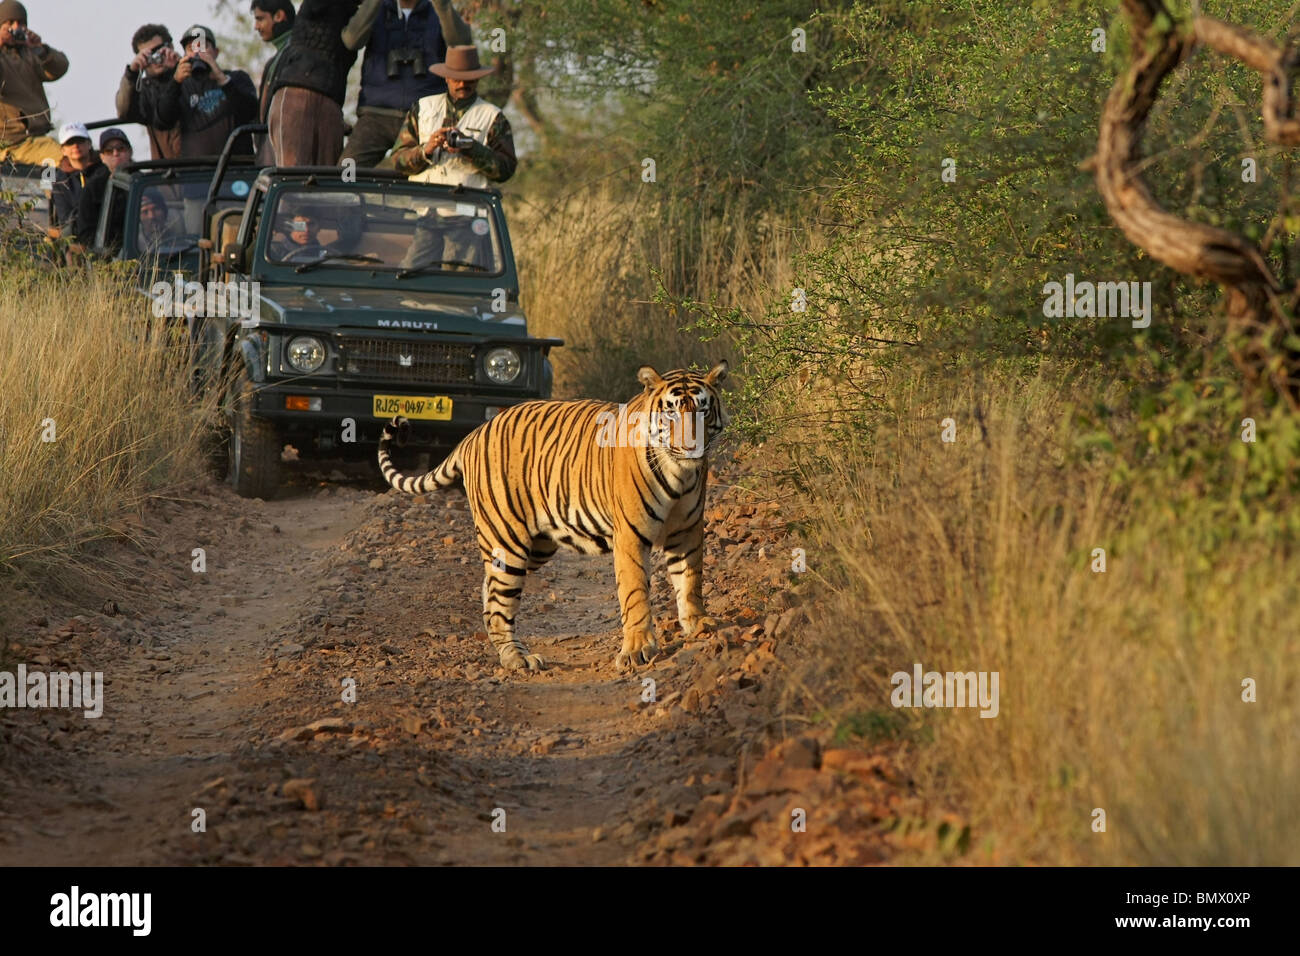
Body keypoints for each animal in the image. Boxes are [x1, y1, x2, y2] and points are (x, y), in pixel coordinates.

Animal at [377, 361, 733, 671]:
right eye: (671, 411)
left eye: (702, 410)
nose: (691, 447)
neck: (680, 473)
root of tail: (474, 434)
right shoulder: (631, 536)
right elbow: (635, 594)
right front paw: (637, 649)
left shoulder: (687, 531)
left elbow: (690, 580)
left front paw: (699, 624)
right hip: (508, 539)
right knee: (499, 604)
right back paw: (518, 658)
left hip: (537, 546)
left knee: (489, 590)